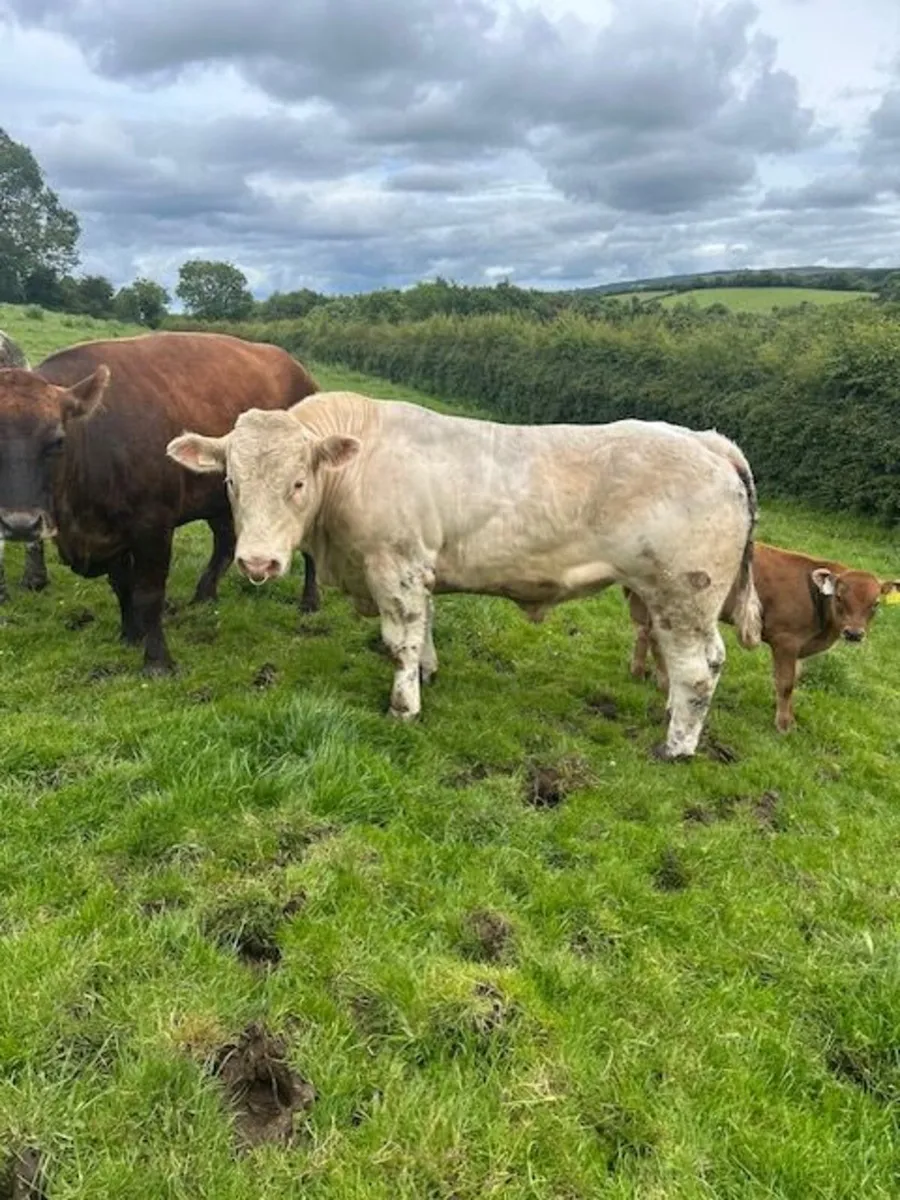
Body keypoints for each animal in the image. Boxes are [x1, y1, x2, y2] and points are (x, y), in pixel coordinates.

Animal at [0, 331, 320, 673]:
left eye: (58, 440)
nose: (19, 524)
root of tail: (301, 372)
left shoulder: (152, 526)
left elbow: (148, 594)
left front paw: (157, 661)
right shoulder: (112, 536)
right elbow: (122, 585)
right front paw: (130, 634)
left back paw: (310, 602)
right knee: (224, 541)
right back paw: (205, 595)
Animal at [167, 392, 762, 760]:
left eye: (296, 482)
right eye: (231, 482)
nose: (257, 563)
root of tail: (706, 440)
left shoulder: (395, 564)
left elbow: (400, 641)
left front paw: (403, 706)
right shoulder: (420, 567)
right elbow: (424, 626)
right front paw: (428, 671)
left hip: (683, 592)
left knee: (698, 669)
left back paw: (675, 746)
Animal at [625, 541, 900, 732]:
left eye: (875, 604)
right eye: (840, 597)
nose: (854, 633)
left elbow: (794, 680)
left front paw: (789, 715)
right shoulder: (786, 641)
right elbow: (786, 683)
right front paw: (783, 725)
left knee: (647, 634)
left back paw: (646, 675)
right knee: (651, 635)